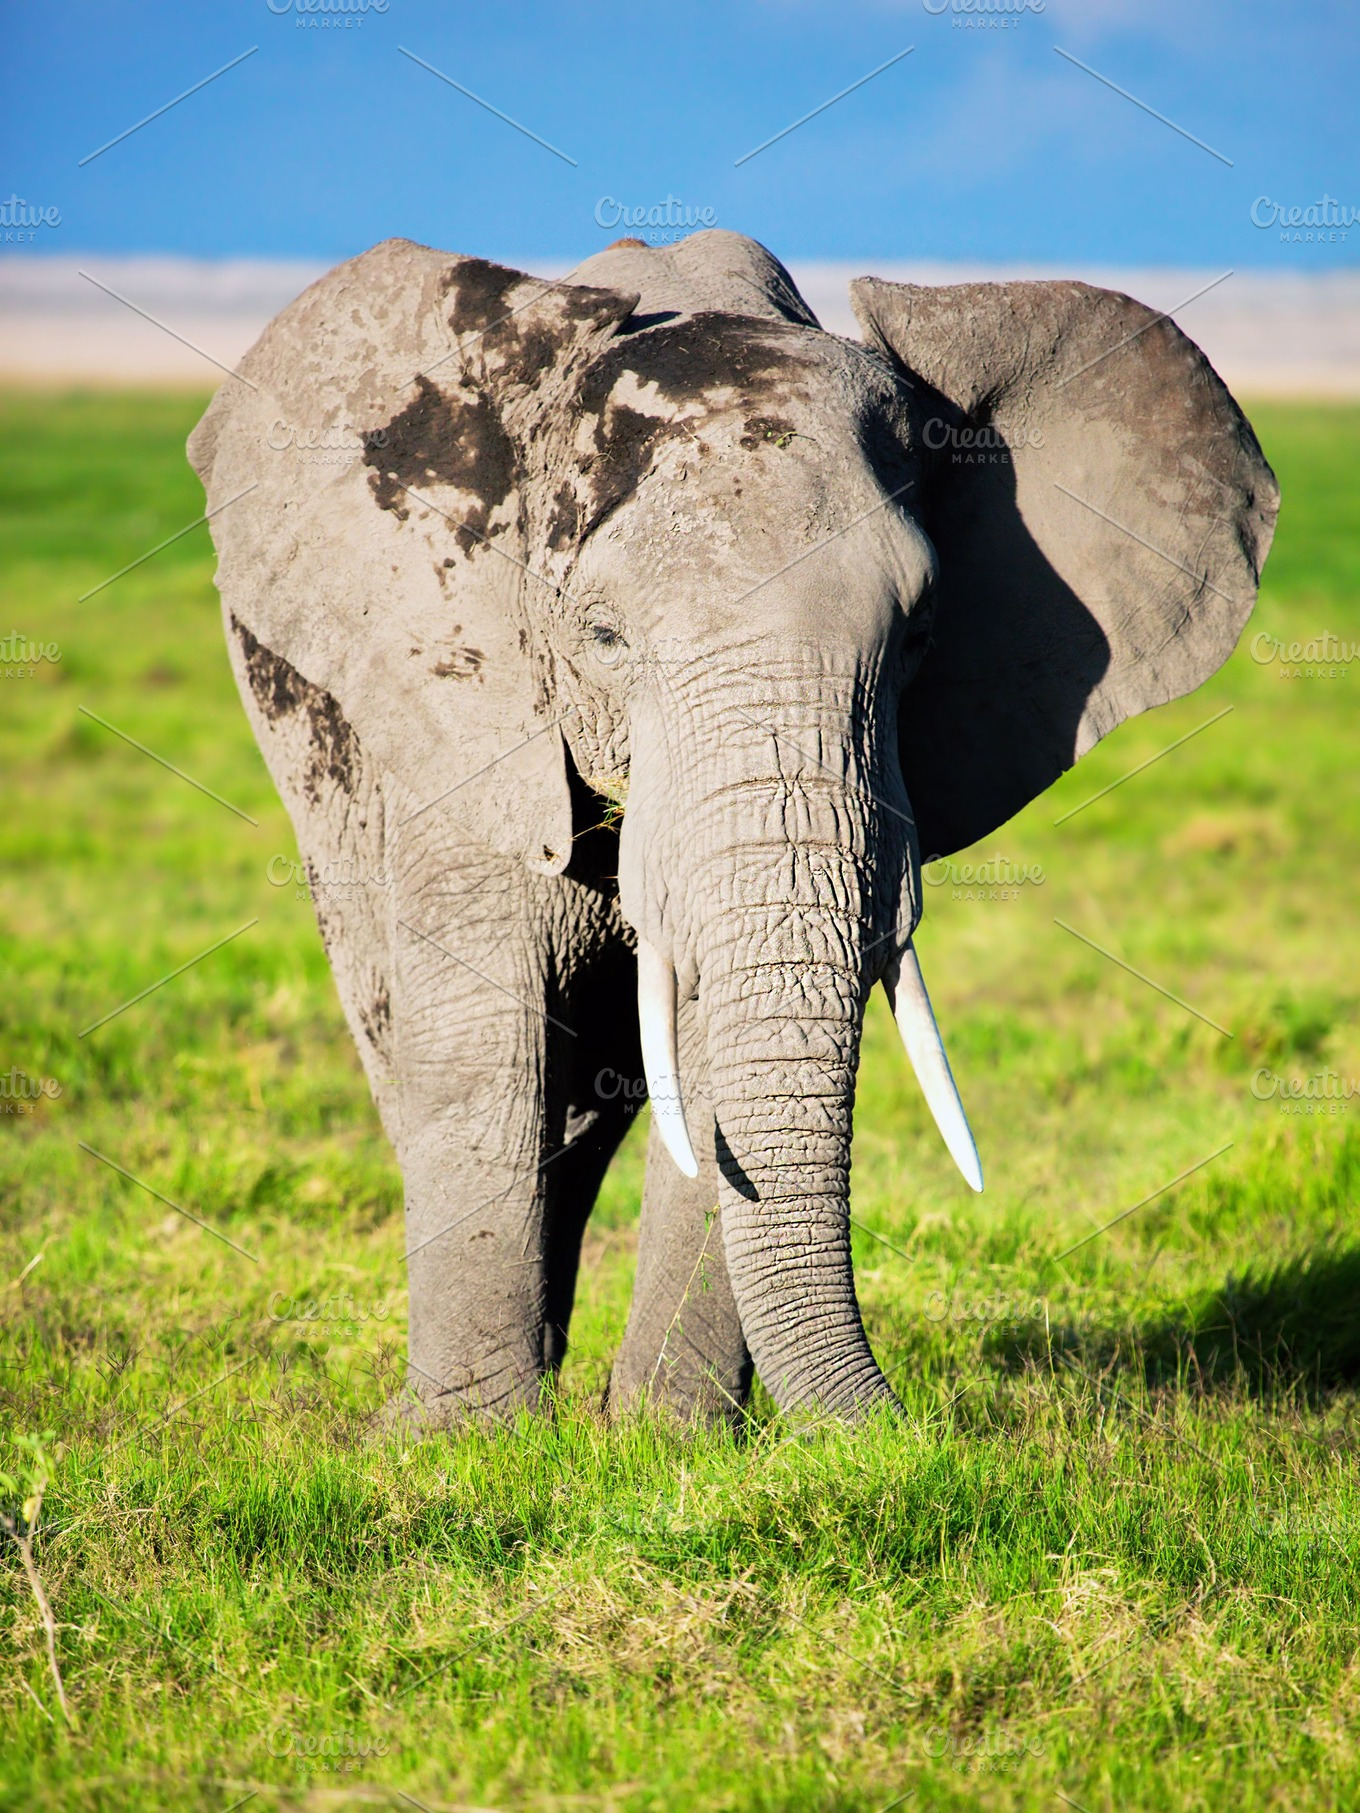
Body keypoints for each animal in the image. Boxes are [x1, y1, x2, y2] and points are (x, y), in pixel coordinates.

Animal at [186, 226, 1283, 1421]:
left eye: (920, 635)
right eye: (603, 636)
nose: (912, 1429)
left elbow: (712, 1044)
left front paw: (662, 1440)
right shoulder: (454, 696)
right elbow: (487, 1041)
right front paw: (454, 1440)